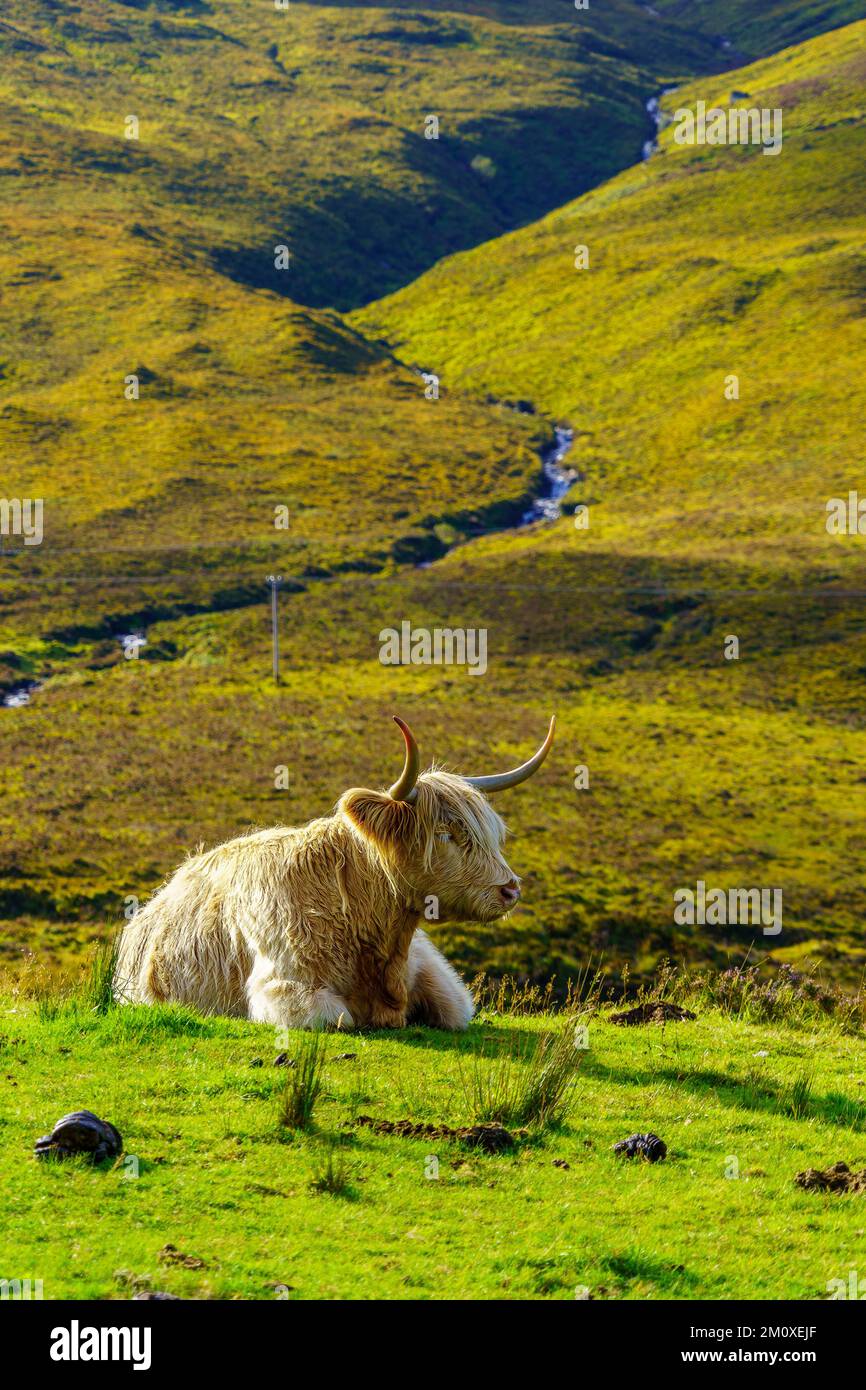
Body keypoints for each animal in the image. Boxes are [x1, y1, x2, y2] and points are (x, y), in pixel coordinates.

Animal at [114, 715, 555, 1030]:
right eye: (445, 834)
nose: (511, 890)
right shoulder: (284, 988)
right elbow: (337, 1018)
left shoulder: (435, 973)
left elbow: (456, 1011)